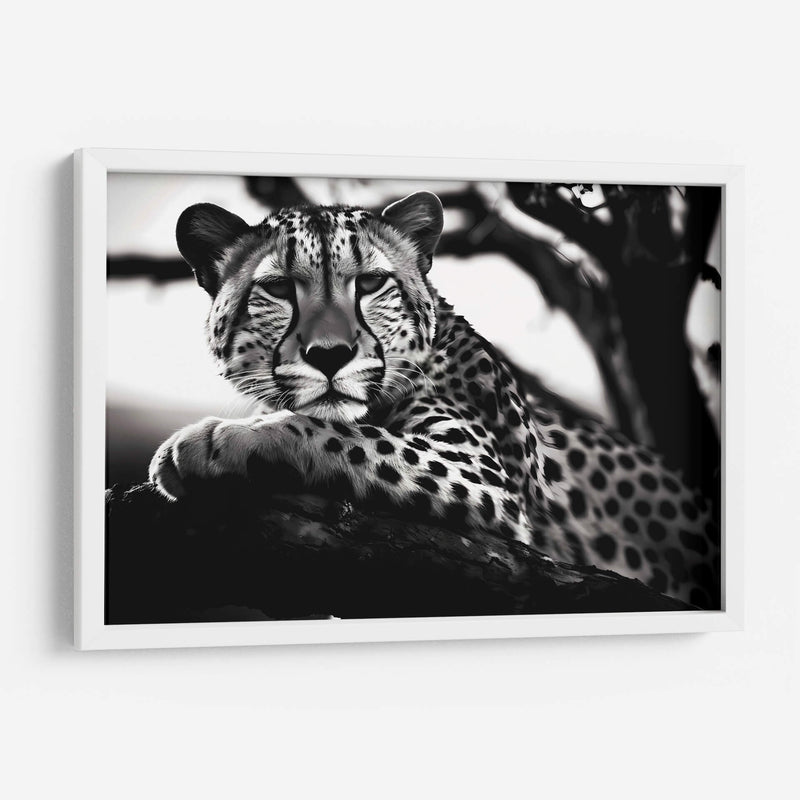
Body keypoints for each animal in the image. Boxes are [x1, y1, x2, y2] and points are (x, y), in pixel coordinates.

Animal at [149, 191, 720, 608]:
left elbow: (341, 432)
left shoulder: (484, 475)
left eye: (371, 283)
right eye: (279, 289)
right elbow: (343, 425)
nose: (330, 355)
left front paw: (216, 439)